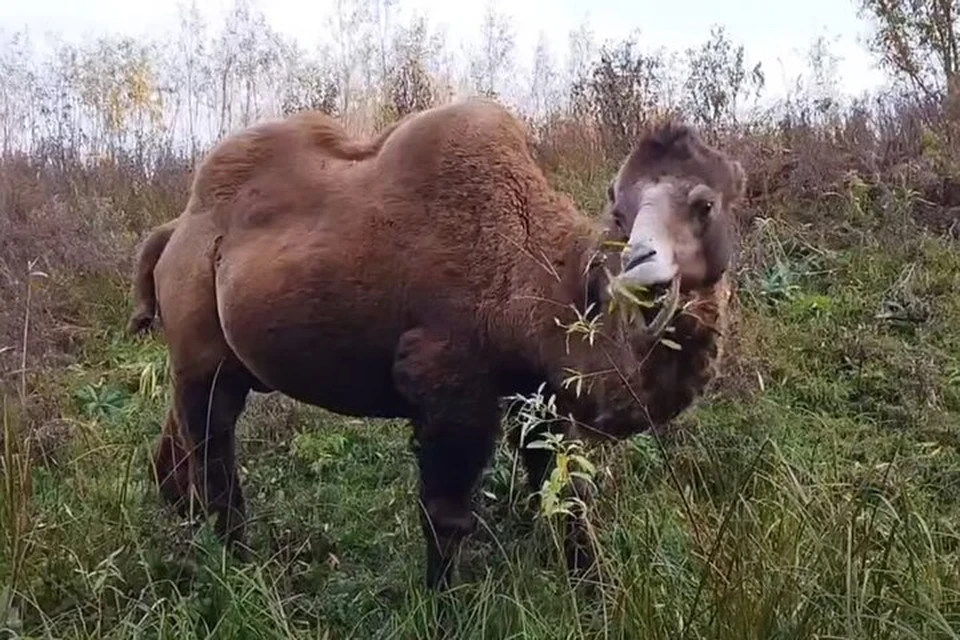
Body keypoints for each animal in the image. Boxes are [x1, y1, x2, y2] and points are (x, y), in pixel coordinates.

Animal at [125, 100, 744, 592]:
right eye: (619, 210)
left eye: (705, 204)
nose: (641, 268)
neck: (538, 271)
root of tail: (172, 233)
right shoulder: (447, 382)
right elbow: (446, 518)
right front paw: (443, 607)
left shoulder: (534, 394)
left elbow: (566, 497)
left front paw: (594, 593)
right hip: (201, 351)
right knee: (214, 451)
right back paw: (237, 563)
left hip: (212, 359)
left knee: (181, 441)